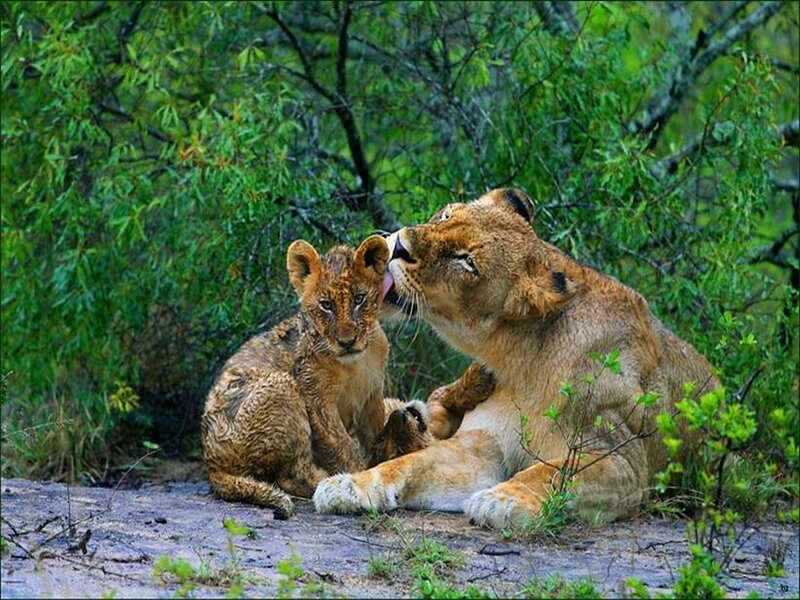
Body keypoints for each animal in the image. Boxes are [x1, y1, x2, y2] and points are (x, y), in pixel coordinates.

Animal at [201, 236, 431, 519]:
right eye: (326, 305)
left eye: (359, 299)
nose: (347, 341)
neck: (355, 362)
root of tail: (212, 465)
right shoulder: (316, 398)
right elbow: (341, 446)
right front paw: (354, 479)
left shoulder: (372, 395)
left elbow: (375, 433)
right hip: (282, 387)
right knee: (292, 476)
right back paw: (323, 482)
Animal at [313, 188, 718, 528]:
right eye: (445, 215)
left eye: (465, 260)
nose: (398, 246)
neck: (521, 361)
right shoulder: (483, 441)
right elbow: (410, 463)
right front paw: (347, 485)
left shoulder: (623, 461)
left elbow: (552, 472)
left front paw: (502, 500)